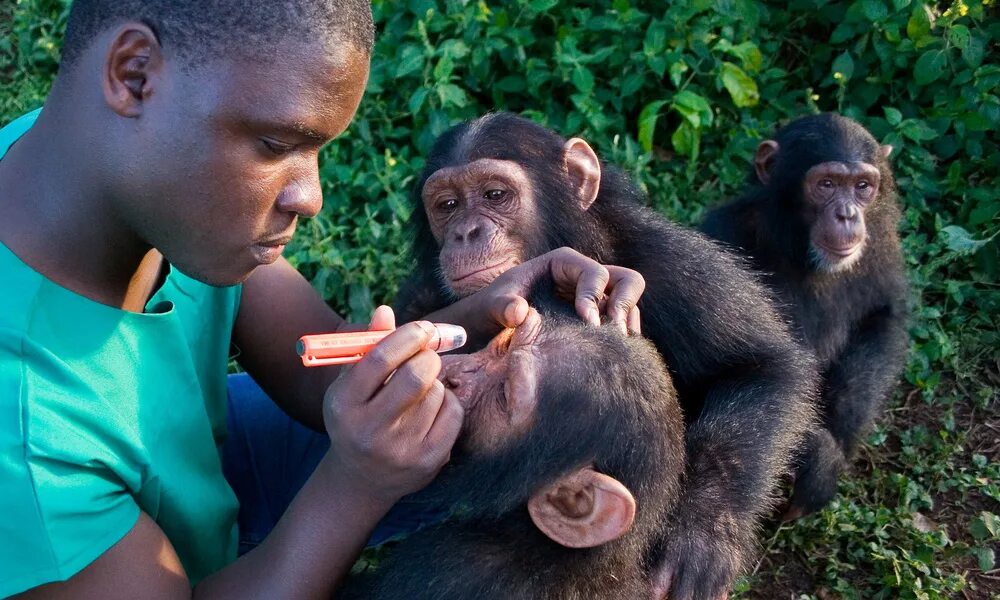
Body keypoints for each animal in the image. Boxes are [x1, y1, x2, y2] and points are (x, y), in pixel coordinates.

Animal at [394, 113, 816, 600]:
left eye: (495, 195)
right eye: (447, 205)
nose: (465, 232)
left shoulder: (675, 265)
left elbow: (762, 367)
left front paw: (702, 539)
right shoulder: (418, 295)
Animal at [700, 113, 912, 520]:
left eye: (862, 186)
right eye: (826, 184)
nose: (847, 214)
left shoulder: (881, 242)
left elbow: (882, 319)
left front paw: (830, 453)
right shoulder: (722, 235)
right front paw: (815, 453)